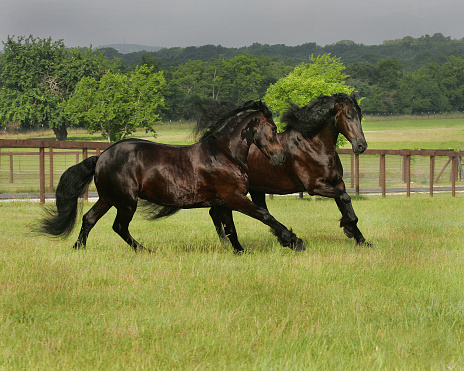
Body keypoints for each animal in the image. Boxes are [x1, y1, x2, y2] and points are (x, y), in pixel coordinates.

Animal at [37, 101, 304, 253]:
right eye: (273, 128)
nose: (280, 157)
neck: (223, 154)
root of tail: (101, 157)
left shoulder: (223, 202)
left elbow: (230, 230)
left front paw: (240, 252)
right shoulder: (235, 197)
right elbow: (265, 216)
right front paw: (293, 241)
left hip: (108, 198)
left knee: (89, 218)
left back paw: (78, 249)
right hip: (126, 201)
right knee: (119, 226)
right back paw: (145, 251)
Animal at [194, 92, 368, 253]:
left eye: (360, 116)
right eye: (348, 116)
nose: (361, 145)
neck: (315, 145)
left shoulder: (337, 182)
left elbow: (345, 203)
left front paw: (361, 239)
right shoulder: (316, 186)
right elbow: (345, 199)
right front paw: (347, 227)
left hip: (255, 190)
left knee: (222, 212)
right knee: (220, 213)